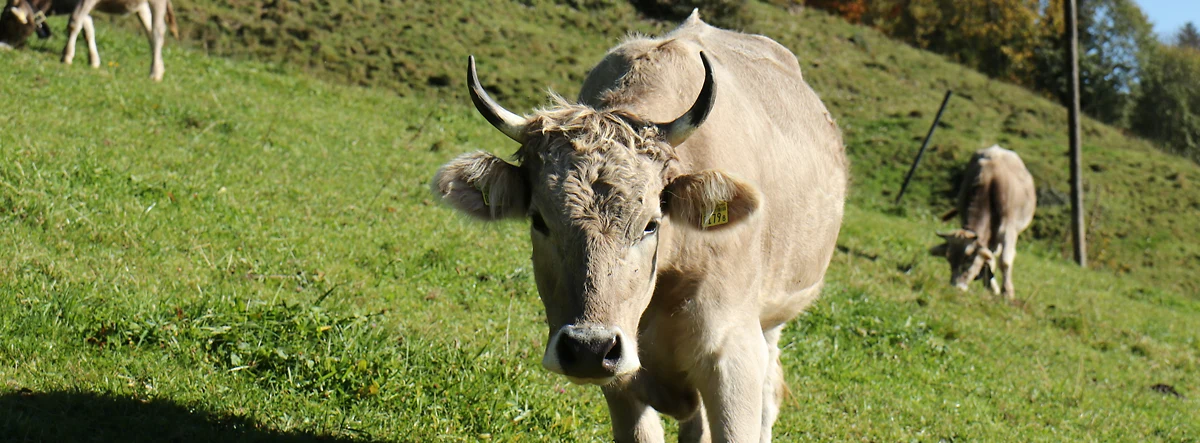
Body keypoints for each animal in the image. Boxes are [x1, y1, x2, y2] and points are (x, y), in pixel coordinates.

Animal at [432, 10, 844, 441]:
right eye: (540, 220)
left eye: (650, 224)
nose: (588, 348)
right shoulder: (622, 383)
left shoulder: (733, 356)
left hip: (772, 322)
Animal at [931, 144, 1036, 296]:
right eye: (949, 259)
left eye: (969, 260)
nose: (956, 287)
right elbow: (988, 257)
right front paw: (992, 287)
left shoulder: (1008, 228)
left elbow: (1005, 260)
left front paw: (1007, 292)